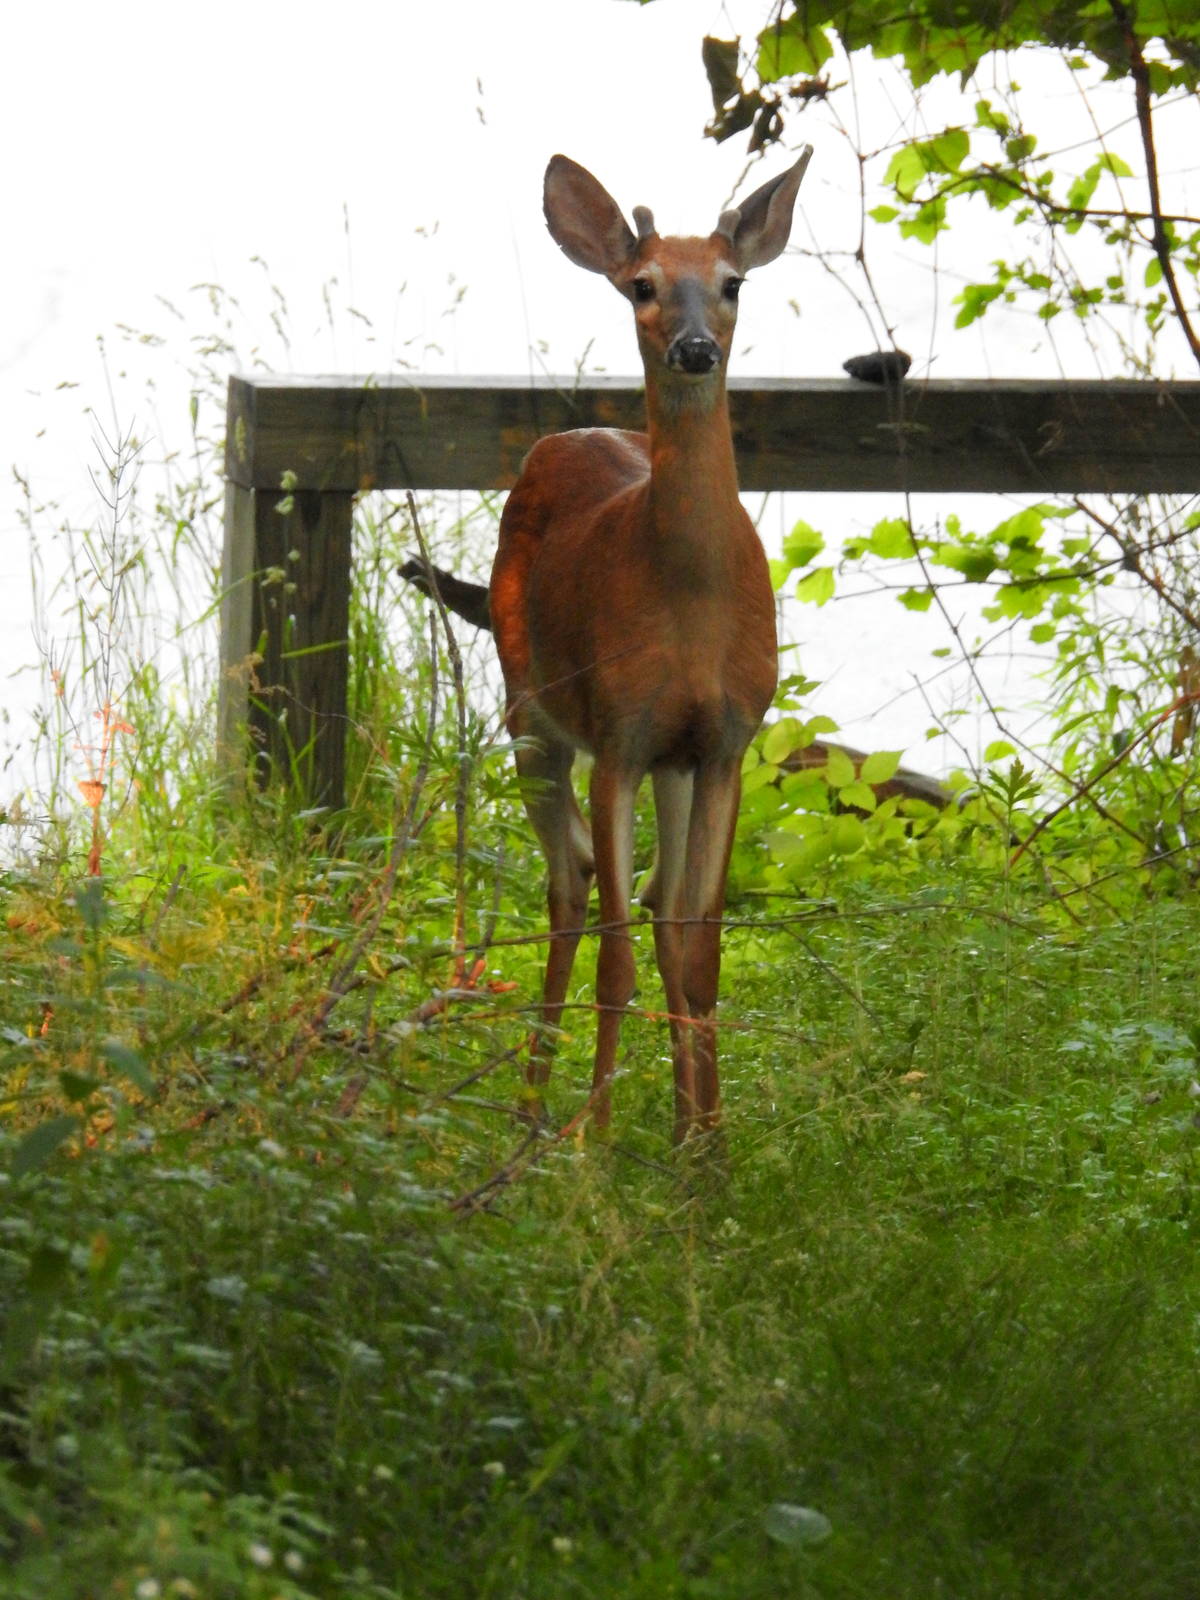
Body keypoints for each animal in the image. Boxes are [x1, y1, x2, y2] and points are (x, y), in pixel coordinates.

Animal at [412, 149, 812, 1145]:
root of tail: (567, 435)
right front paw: (592, 1149)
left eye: (733, 282)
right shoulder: (619, 735)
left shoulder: (724, 743)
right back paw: (532, 1113)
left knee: (647, 907)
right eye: (643, 285)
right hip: (532, 714)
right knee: (570, 894)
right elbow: (617, 960)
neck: (691, 610)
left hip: (664, 761)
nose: (696, 348)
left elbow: (697, 950)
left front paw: (707, 1147)